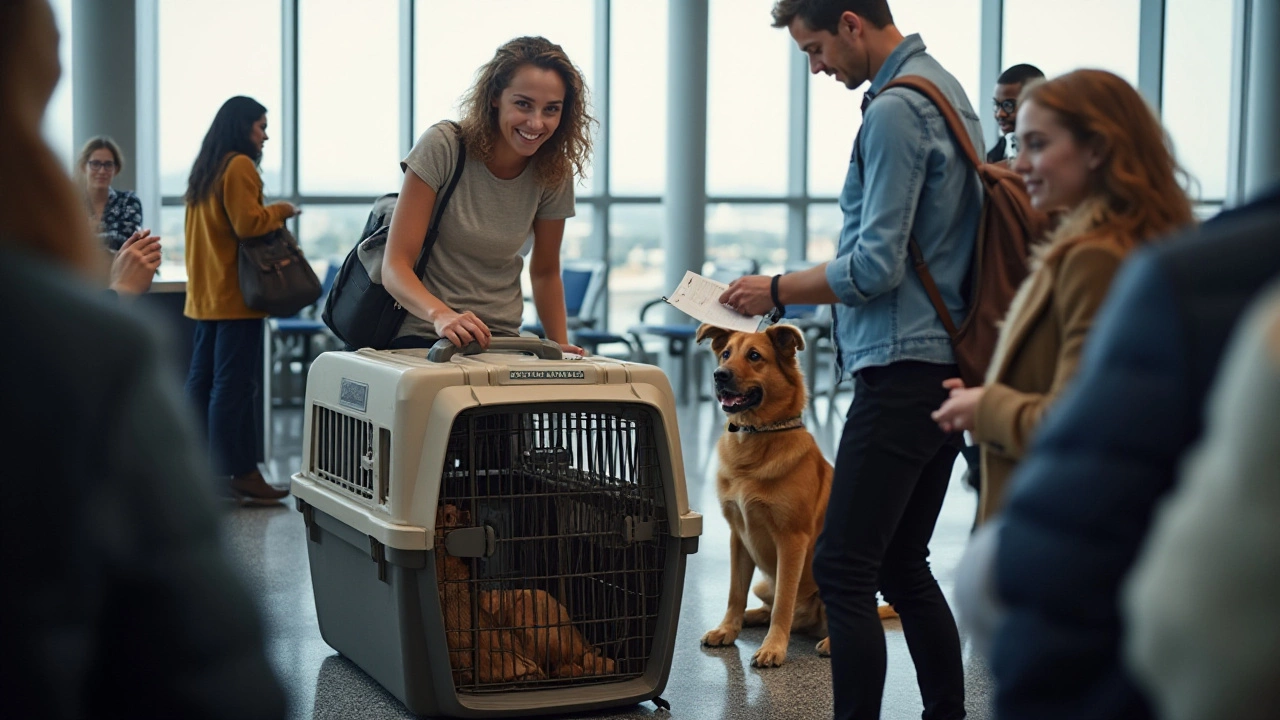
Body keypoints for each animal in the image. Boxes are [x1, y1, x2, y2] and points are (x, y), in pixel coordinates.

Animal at [701, 322, 890, 666]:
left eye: (754, 356)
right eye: (725, 354)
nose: (719, 375)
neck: (757, 438)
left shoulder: (792, 541)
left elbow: (783, 603)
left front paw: (774, 647)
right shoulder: (738, 537)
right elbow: (735, 593)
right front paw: (728, 628)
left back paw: (830, 642)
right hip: (764, 583)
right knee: (768, 606)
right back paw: (750, 618)